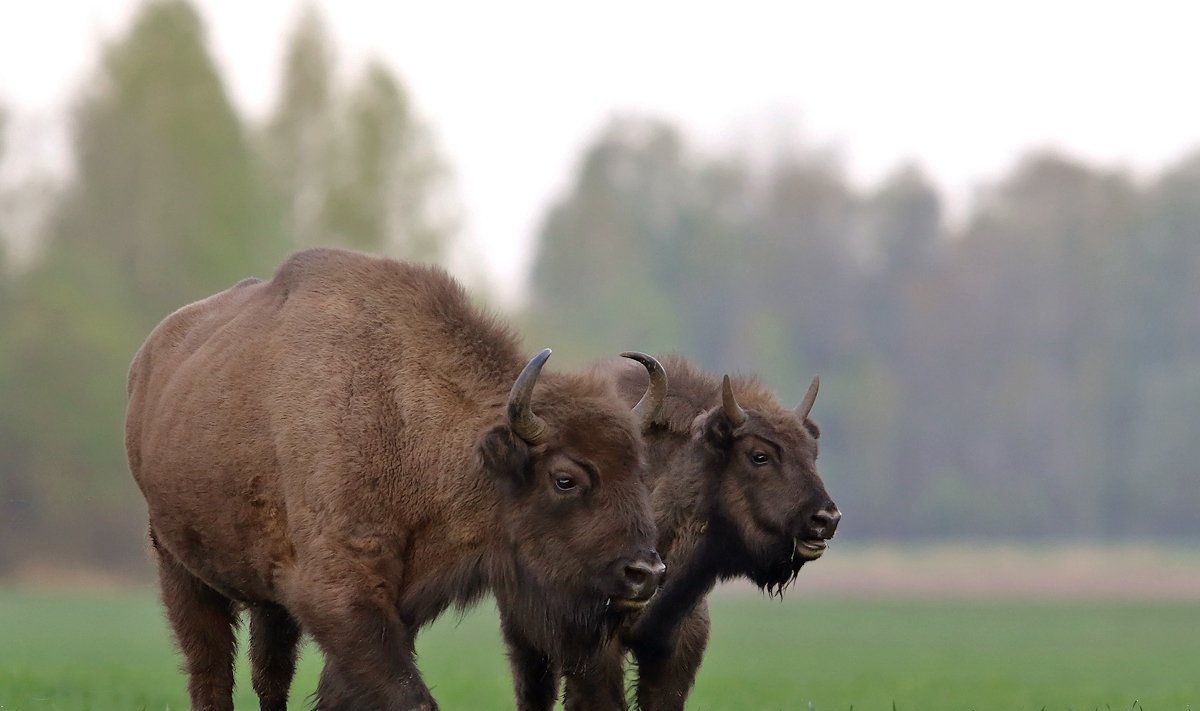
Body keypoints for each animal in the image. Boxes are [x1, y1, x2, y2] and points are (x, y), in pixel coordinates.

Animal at [127, 248, 672, 711]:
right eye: (564, 480)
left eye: (640, 471)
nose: (646, 573)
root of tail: (146, 362)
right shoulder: (338, 595)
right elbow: (407, 695)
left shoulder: (396, 606)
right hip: (178, 567)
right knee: (211, 673)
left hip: (266, 600)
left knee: (269, 676)